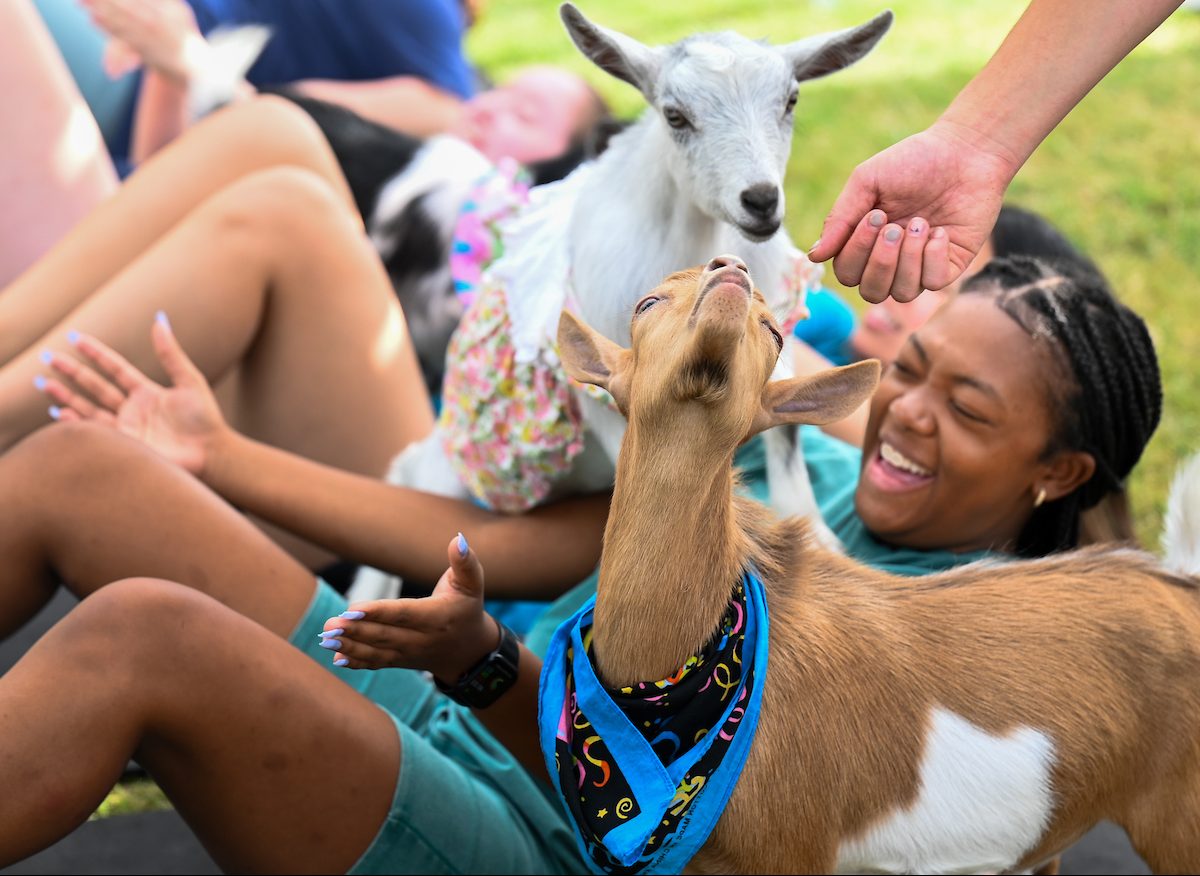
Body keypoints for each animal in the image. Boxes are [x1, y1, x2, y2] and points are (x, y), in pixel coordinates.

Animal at [350, 3, 893, 599]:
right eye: (675, 116)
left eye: (791, 99)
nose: (761, 201)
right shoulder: (602, 380)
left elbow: (790, 433)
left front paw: (818, 541)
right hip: (451, 465)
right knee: (404, 476)